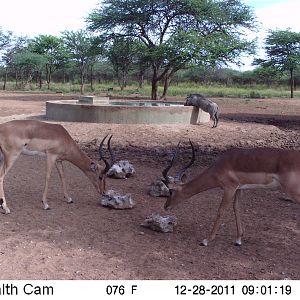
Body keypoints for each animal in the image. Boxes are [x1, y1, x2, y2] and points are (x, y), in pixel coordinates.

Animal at [164, 144, 300, 246]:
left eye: (170, 191)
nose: (165, 207)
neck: (220, 165)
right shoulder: (239, 189)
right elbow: (237, 208)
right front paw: (238, 240)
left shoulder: (229, 188)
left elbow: (221, 210)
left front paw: (206, 240)